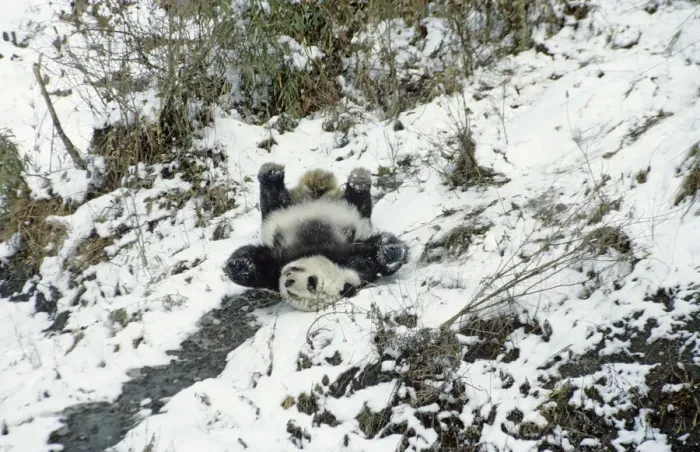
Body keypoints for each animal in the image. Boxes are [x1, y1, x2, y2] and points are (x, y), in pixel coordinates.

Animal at [225, 162, 410, 311]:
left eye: (311, 284)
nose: (287, 282)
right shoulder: (279, 261)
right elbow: (250, 268)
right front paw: (240, 264)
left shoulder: (358, 264)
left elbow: (379, 258)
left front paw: (389, 253)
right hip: (280, 212)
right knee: (273, 200)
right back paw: (272, 173)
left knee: (359, 203)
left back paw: (358, 182)